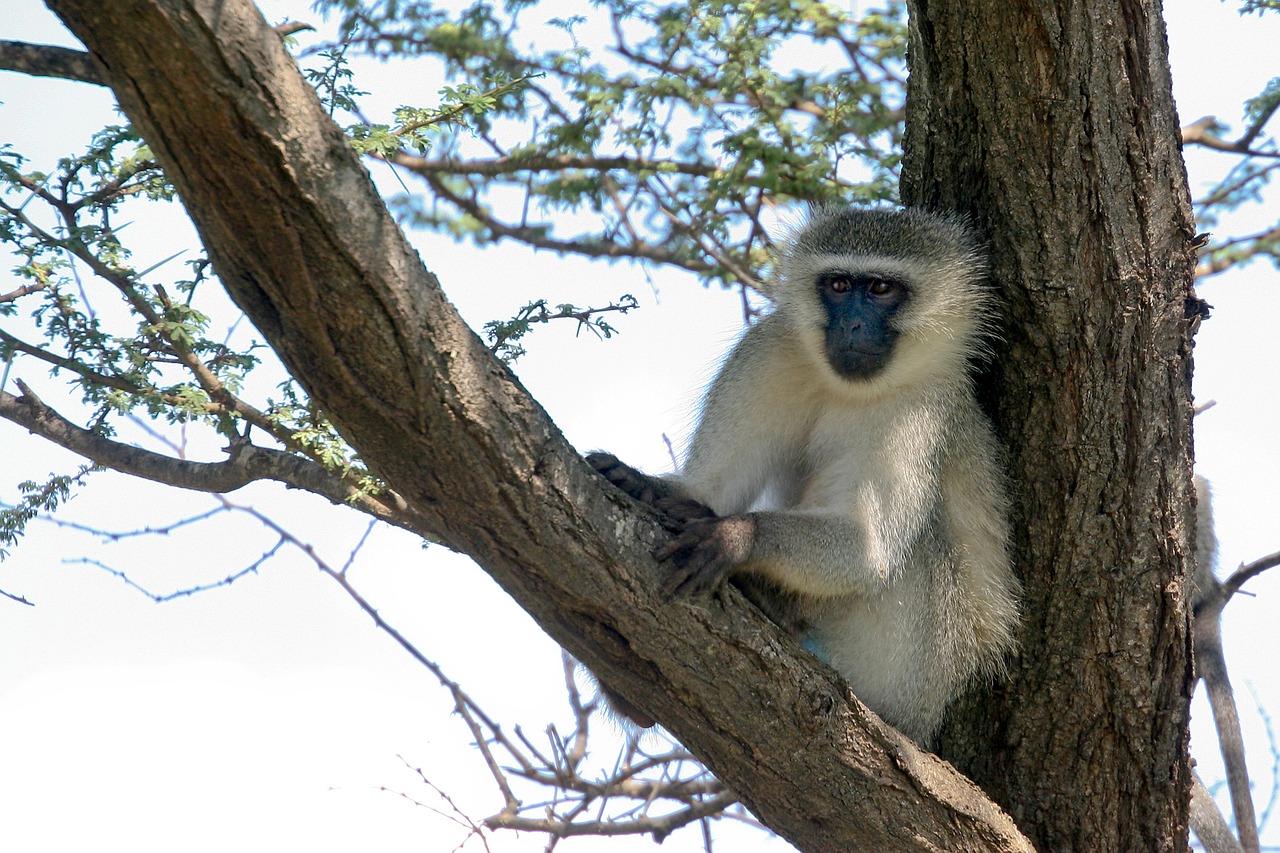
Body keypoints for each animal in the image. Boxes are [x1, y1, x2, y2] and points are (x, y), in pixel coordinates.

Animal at [586, 206, 1018, 737]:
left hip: (904, 672)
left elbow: (868, 552)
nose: (852, 324)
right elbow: (709, 489)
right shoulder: (769, 350)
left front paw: (737, 536)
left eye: (880, 288)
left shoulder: (920, 411)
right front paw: (647, 486)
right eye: (838, 285)